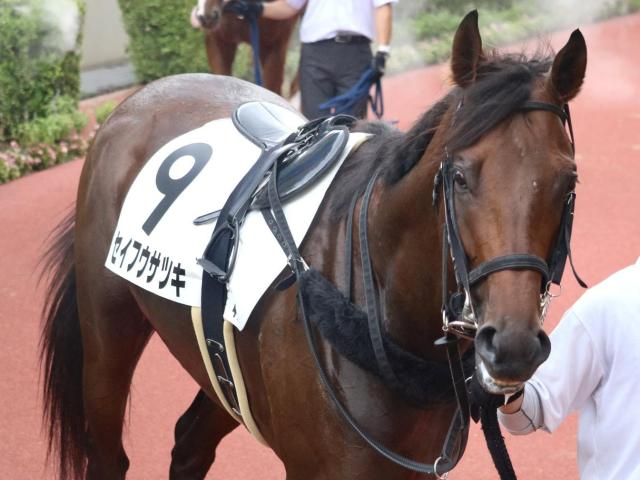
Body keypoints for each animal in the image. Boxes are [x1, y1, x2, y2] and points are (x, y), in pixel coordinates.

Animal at [40, 11, 587, 480]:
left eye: (568, 183)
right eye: (458, 177)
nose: (512, 346)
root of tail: (139, 98)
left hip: (223, 371)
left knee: (189, 443)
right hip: (107, 330)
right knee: (109, 455)